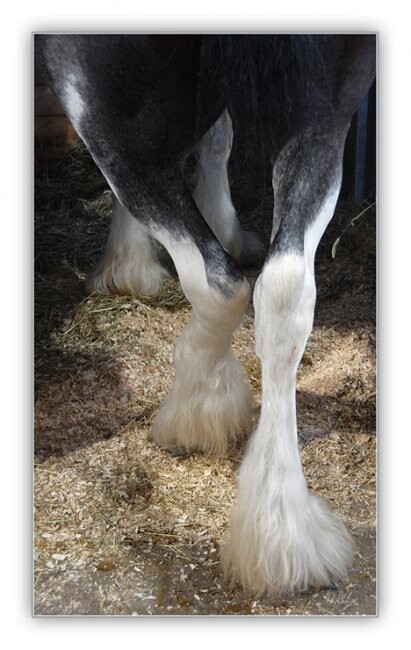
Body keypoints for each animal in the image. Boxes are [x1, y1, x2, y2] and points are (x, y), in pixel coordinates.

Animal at [35, 34, 376, 592]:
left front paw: (127, 266)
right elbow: (218, 136)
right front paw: (224, 226)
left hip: (99, 90)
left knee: (218, 282)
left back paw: (193, 413)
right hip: (327, 106)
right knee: (284, 292)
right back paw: (282, 537)